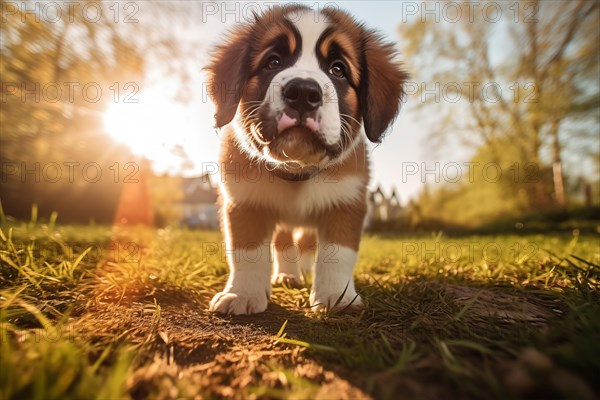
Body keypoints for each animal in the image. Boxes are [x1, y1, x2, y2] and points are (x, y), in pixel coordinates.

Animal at [206, 4, 408, 314]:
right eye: (273, 62)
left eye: (338, 69)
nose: (302, 92)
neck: (297, 169)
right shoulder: (244, 201)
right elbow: (247, 251)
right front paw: (242, 294)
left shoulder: (346, 201)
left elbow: (338, 252)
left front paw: (337, 297)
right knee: (285, 242)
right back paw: (288, 275)